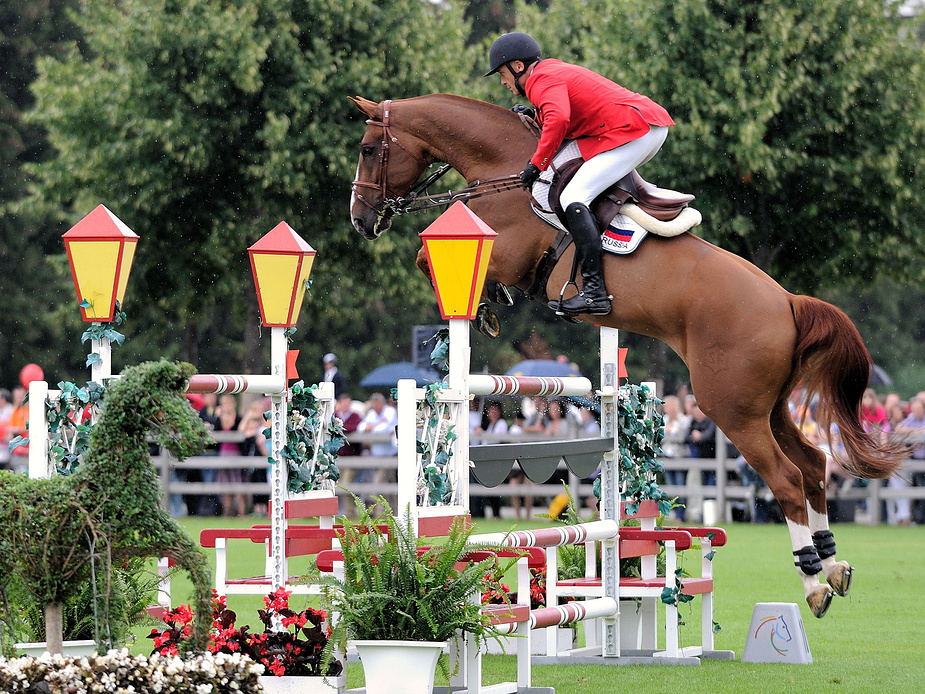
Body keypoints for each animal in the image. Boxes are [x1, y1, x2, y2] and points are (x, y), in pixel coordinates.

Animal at [0, 362, 210, 656]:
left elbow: (196, 563)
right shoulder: (105, 550)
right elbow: (111, 605)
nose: (199, 438)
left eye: (186, 400)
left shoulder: (148, 540)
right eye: (160, 401)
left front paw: (195, 641)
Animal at [346, 92, 904, 620]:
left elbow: (425, 257)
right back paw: (834, 566)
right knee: (812, 464)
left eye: (369, 149)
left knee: (786, 478)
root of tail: (787, 302)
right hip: (767, 407)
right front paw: (489, 304)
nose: (361, 220)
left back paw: (813, 585)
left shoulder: (503, 249)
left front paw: (485, 305)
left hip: (733, 409)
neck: (502, 168)